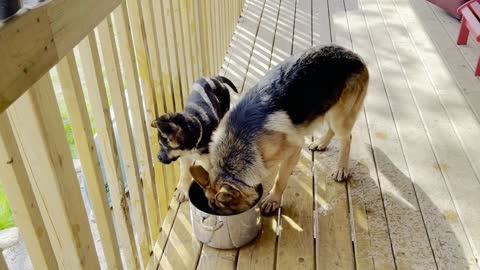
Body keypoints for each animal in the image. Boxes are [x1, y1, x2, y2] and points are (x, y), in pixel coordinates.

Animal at [188, 45, 368, 216]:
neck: (237, 141)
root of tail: (353, 55)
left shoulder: (292, 151)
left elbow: (280, 180)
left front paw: (273, 199)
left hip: (340, 118)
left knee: (346, 138)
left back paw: (341, 168)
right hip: (330, 110)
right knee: (333, 130)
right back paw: (321, 143)